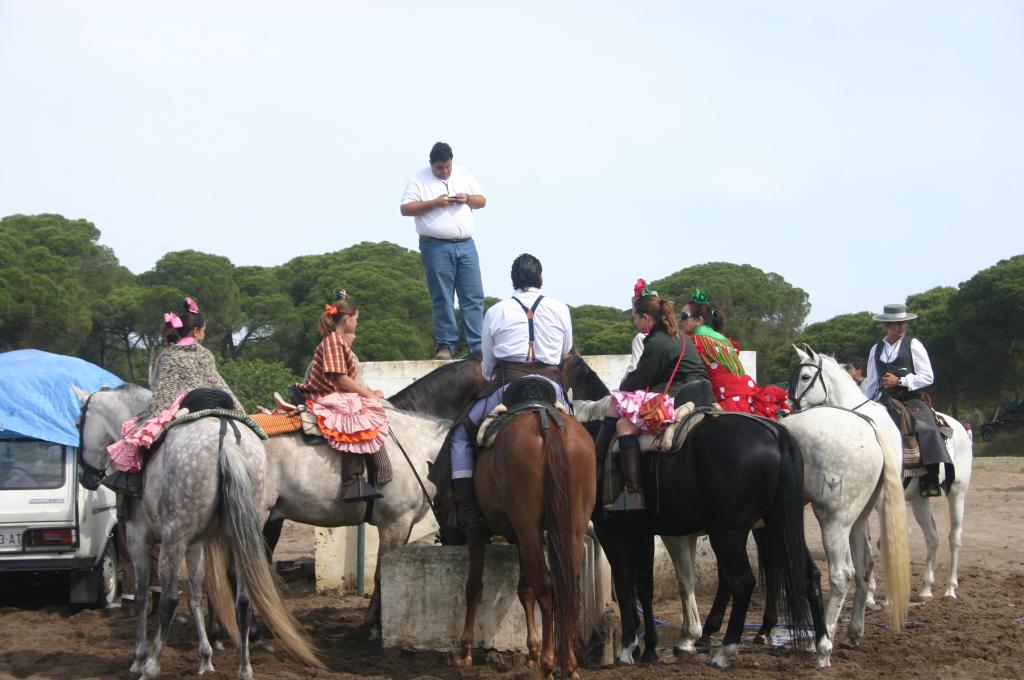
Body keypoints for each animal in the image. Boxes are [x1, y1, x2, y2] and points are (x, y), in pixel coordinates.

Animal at [75, 387, 319, 680]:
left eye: (77, 423)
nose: (85, 477)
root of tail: (226, 437)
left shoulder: (139, 538)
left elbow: (143, 598)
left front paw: (138, 658)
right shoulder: (195, 544)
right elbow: (195, 597)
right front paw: (205, 658)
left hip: (173, 540)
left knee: (169, 599)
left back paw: (152, 666)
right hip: (240, 538)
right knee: (244, 600)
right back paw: (245, 668)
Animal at [454, 391, 593, 675]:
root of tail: (548, 423)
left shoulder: (478, 532)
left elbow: (473, 587)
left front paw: (465, 651)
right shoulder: (518, 537)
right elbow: (524, 589)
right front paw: (531, 651)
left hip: (529, 529)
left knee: (547, 587)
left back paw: (549, 665)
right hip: (570, 529)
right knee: (565, 588)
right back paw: (569, 665)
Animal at [561, 356, 831, 667]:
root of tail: (776, 434)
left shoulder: (612, 531)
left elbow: (626, 583)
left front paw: (629, 647)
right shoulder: (643, 531)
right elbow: (646, 586)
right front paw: (650, 648)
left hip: (728, 533)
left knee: (743, 582)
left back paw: (725, 649)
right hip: (779, 524)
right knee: (809, 575)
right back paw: (822, 647)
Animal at [790, 348, 974, 598]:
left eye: (806, 376)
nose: (789, 407)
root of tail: (958, 426)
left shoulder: (879, 502)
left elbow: (877, 545)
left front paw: (874, 595)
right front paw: (870, 595)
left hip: (957, 492)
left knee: (954, 537)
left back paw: (950, 589)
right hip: (919, 499)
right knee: (932, 536)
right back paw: (926, 588)